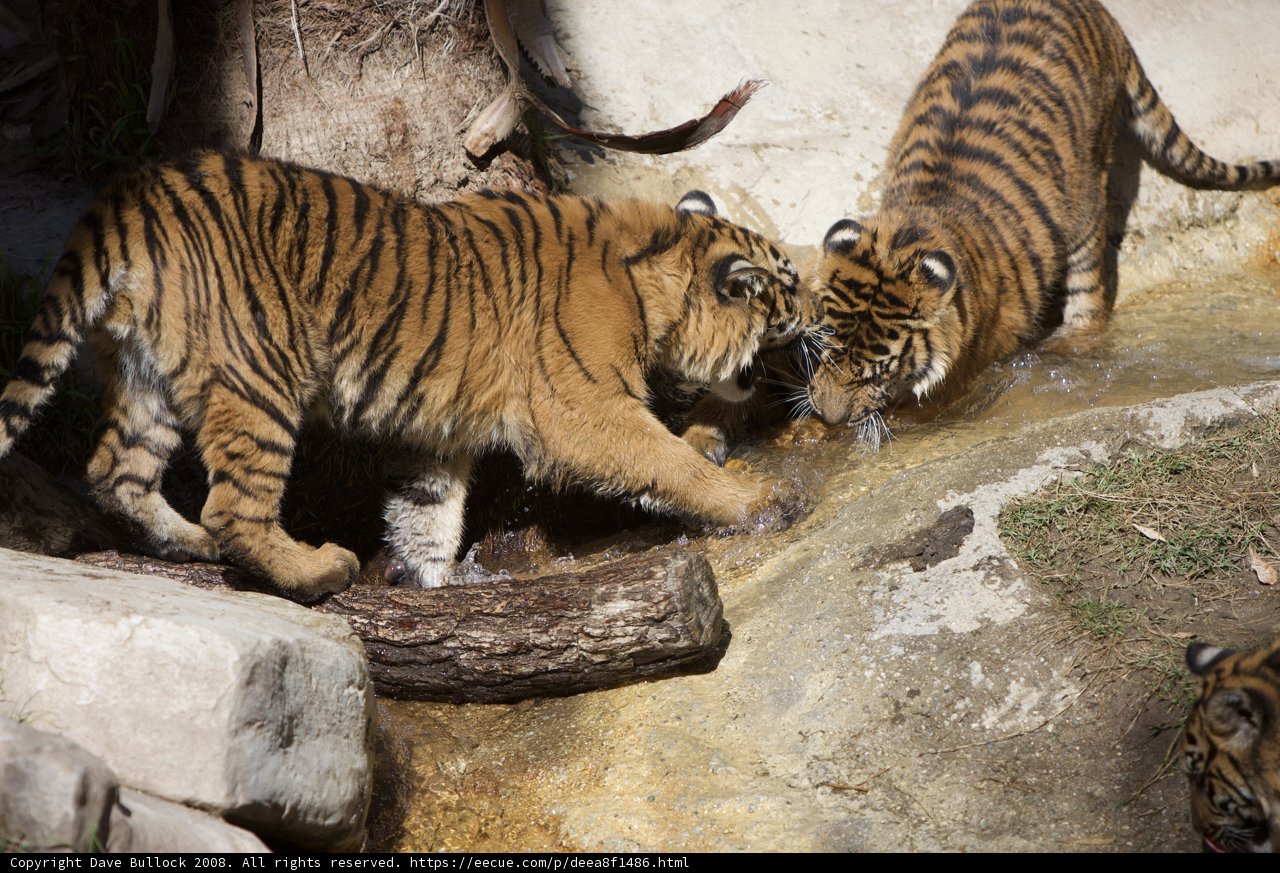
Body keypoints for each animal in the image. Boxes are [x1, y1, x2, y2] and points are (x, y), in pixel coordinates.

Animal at [0, 151, 820, 601]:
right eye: (784, 285)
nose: (820, 311)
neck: (651, 269)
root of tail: (130, 196)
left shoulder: (436, 434)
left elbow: (427, 514)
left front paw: (439, 584)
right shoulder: (582, 409)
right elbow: (669, 460)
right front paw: (761, 501)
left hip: (147, 378)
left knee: (115, 472)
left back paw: (191, 545)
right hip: (260, 375)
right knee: (233, 505)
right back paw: (313, 569)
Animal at [806, 0, 1280, 431]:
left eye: (879, 370)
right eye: (825, 346)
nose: (831, 418)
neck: (913, 226)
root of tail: (1097, 11)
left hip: (1086, 200)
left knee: (1089, 295)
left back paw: (1069, 344)